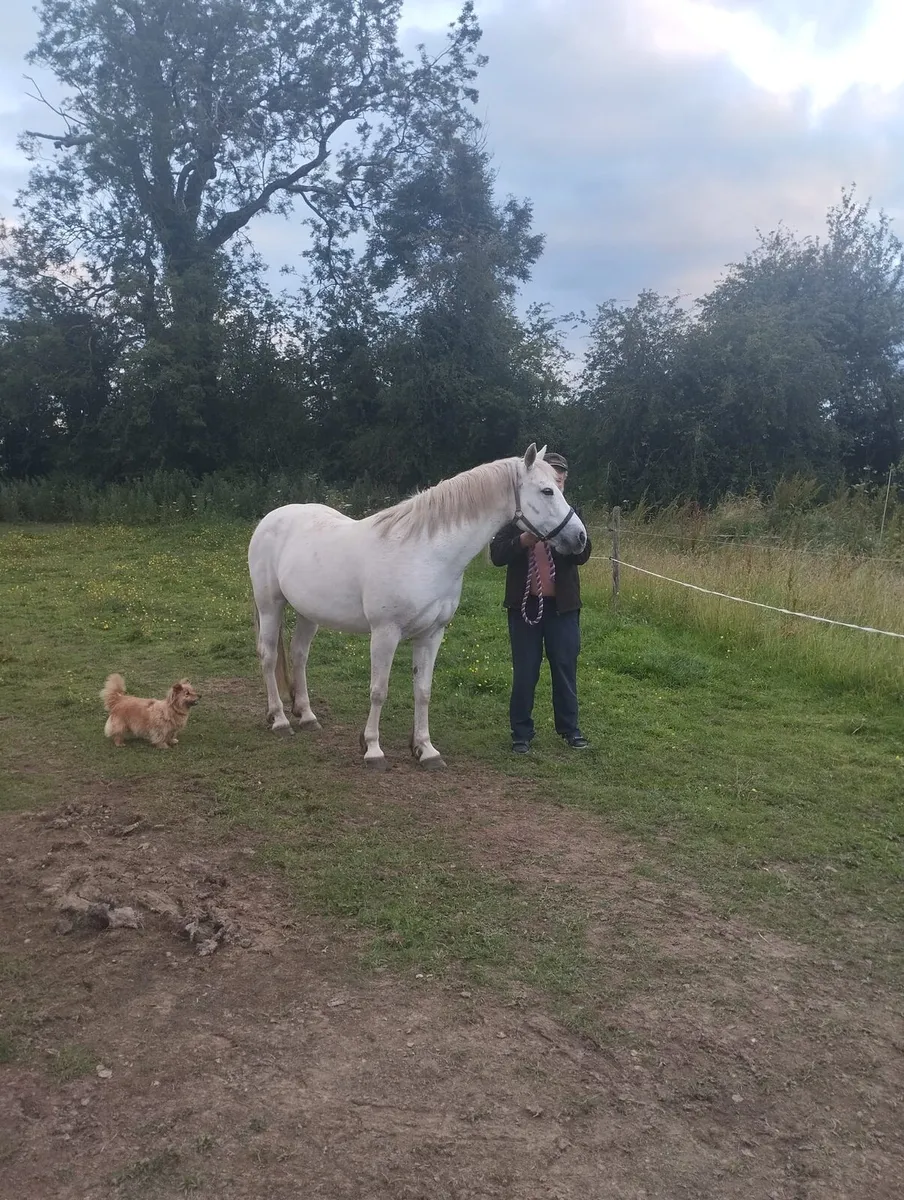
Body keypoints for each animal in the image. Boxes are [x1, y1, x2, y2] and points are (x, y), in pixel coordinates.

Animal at [248, 443, 587, 770]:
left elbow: (422, 692)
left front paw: (425, 750)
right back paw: (279, 719)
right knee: (269, 656)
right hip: (270, 605)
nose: (580, 537)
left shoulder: (432, 634)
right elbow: (379, 690)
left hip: (308, 613)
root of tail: (271, 518)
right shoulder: (384, 634)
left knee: (299, 655)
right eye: (547, 491)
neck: (425, 554)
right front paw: (372, 749)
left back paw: (306, 716)